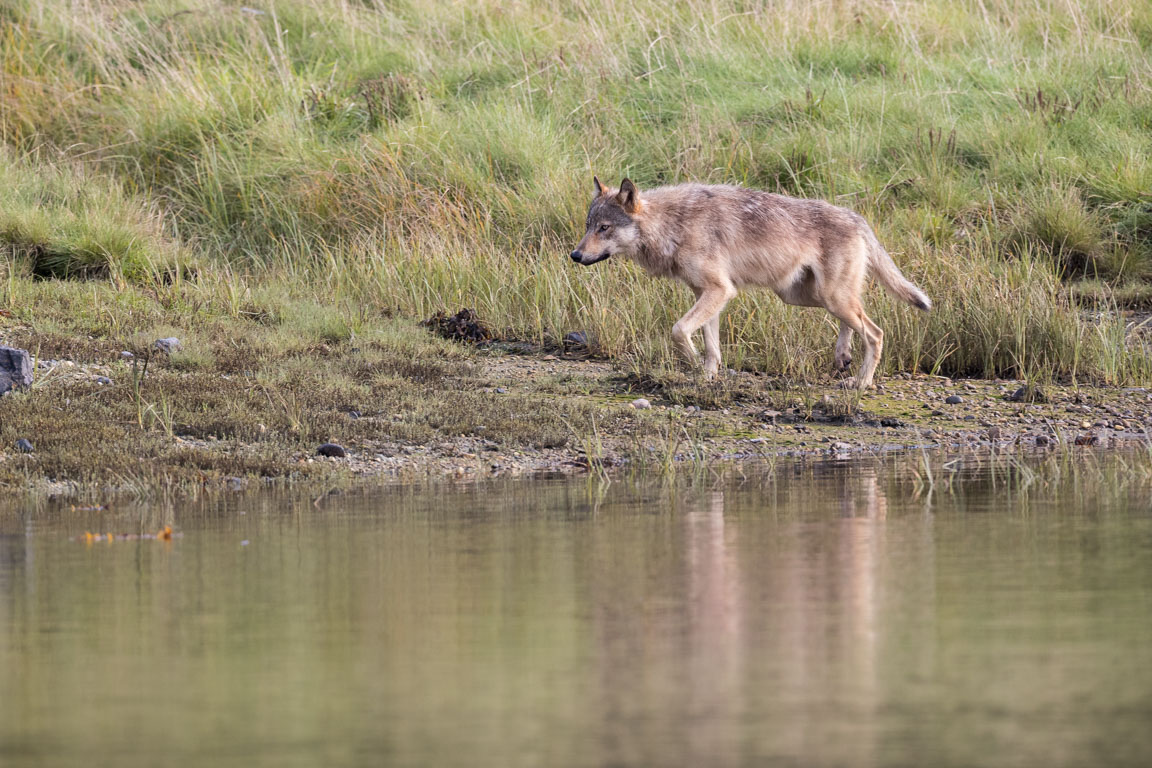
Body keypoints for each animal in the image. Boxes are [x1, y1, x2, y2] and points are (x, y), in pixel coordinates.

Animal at [571, 177, 930, 386]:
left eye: (604, 228)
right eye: (588, 226)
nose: (575, 255)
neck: (673, 224)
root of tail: (856, 216)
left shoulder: (720, 291)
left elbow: (678, 331)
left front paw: (692, 364)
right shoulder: (708, 294)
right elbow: (711, 346)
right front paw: (707, 375)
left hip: (830, 297)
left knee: (876, 332)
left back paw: (861, 382)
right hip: (806, 296)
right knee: (856, 322)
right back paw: (843, 356)